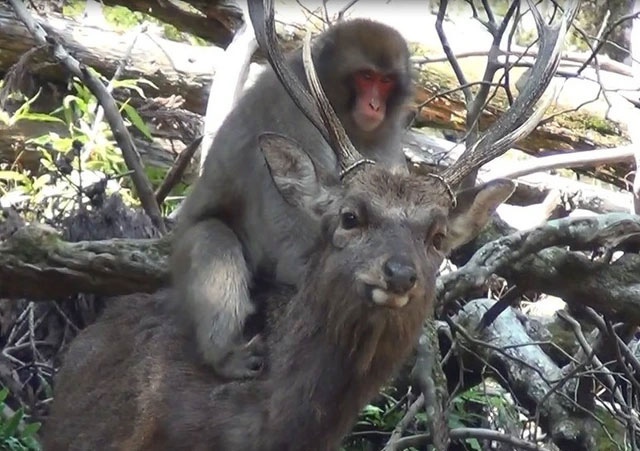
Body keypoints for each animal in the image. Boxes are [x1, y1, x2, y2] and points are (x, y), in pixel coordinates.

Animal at [171, 19, 413, 379]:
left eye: (385, 81)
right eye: (366, 76)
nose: (374, 106)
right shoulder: (290, 112)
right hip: (182, 259)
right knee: (213, 239)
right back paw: (224, 356)